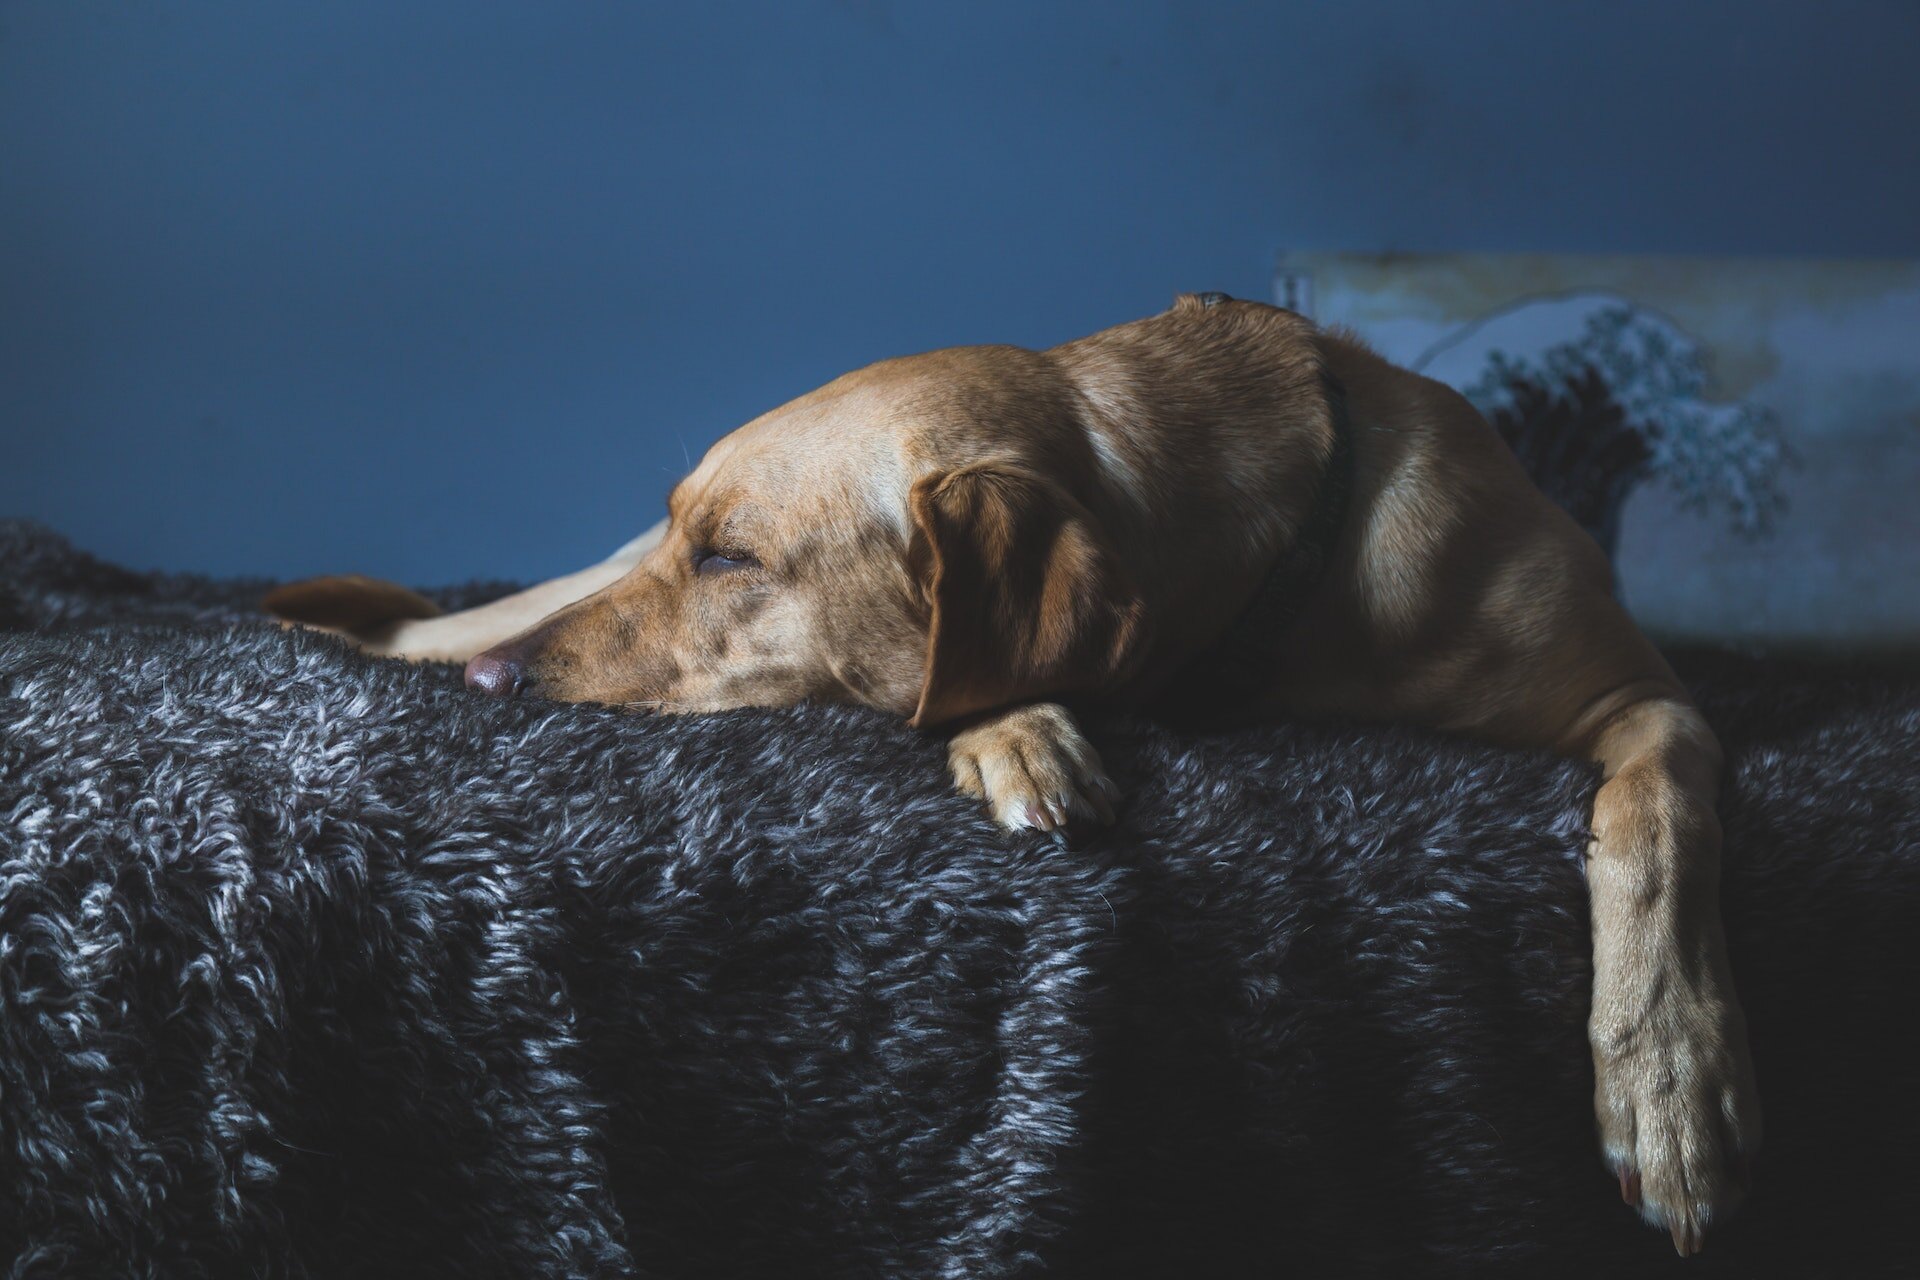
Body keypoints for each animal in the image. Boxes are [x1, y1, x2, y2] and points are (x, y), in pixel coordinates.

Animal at [266, 293, 1758, 1251]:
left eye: (735, 558)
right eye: (695, 537)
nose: (495, 691)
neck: (1283, 589)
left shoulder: (1654, 706)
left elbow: (1655, 829)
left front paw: (1666, 1079)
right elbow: (976, 681)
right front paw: (1019, 730)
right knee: (417, 624)